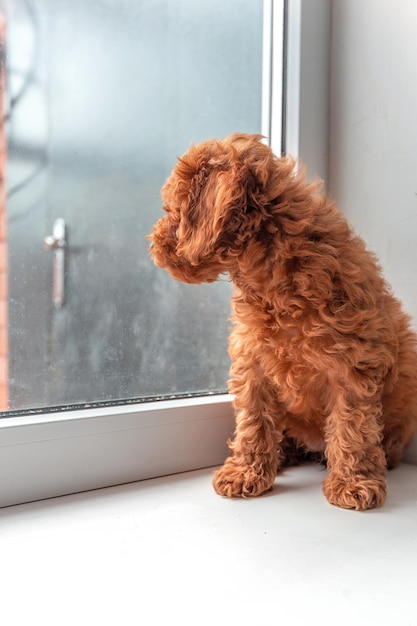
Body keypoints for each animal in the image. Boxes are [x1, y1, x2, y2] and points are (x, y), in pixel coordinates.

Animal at [148, 132, 416, 508]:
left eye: (171, 210)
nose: (153, 244)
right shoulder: (252, 361)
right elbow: (253, 421)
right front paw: (246, 472)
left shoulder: (353, 365)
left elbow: (352, 425)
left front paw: (353, 482)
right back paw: (284, 453)